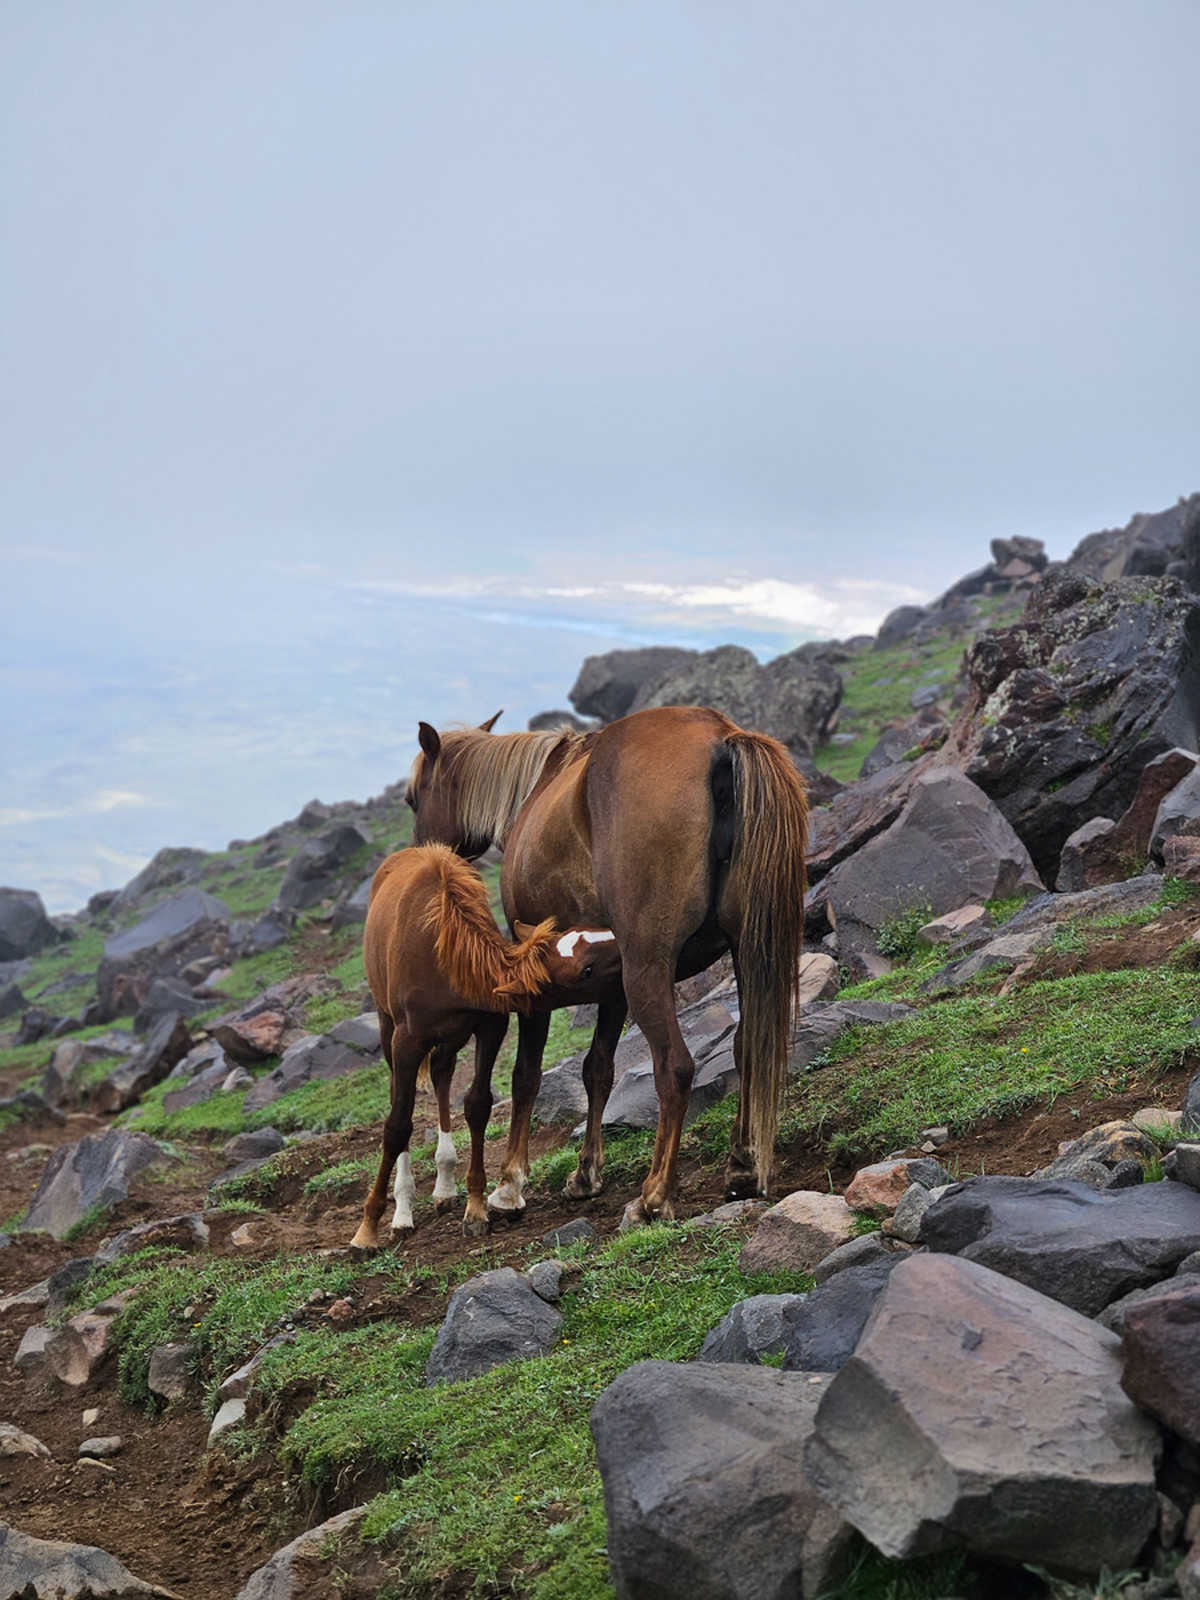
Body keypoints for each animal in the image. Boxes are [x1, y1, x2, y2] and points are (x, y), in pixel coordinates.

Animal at [352, 844, 624, 1241]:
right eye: (585, 970)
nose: (623, 939)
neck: (445, 958)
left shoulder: (489, 1026)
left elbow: (477, 1104)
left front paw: (476, 1208)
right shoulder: (407, 1041)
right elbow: (397, 1124)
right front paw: (368, 1228)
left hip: (450, 1038)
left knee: (442, 1072)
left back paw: (444, 1185)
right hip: (389, 1026)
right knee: (400, 1095)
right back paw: (403, 1209)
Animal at [409, 704, 812, 1222]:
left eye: (413, 797)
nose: (424, 857)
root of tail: (722, 738)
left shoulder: (540, 979)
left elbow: (526, 1076)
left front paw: (510, 1183)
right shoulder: (608, 982)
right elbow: (596, 1069)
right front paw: (585, 1173)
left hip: (649, 969)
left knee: (675, 1067)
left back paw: (655, 1194)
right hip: (746, 950)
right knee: (747, 1046)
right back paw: (742, 1165)